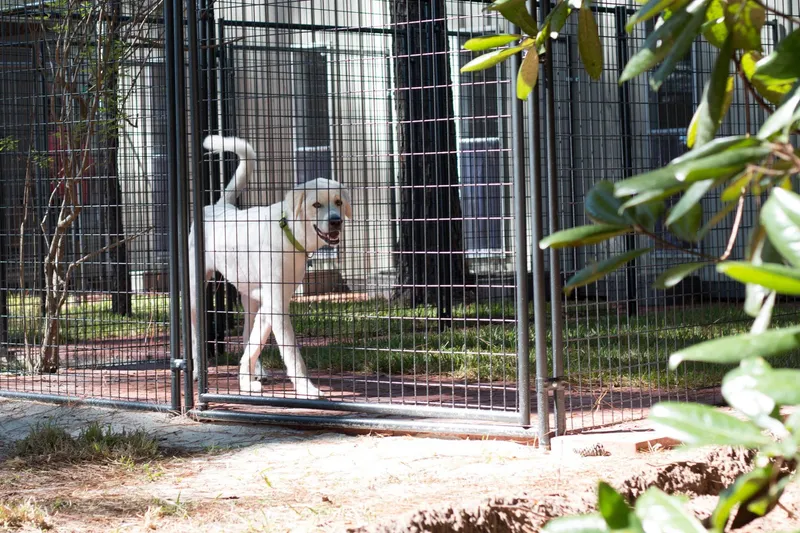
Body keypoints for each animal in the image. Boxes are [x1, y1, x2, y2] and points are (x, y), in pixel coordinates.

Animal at [189, 135, 352, 396]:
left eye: (338, 202)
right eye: (316, 205)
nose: (336, 221)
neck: (288, 232)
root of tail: (219, 207)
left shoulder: (272, 303)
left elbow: (253, 346)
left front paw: (246, 381)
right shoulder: (275, 305)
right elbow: (293, 354)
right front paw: (306, 388)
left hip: (250, 300)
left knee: (247, 333)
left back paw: (259, 371)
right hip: (196, 293)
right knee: (195, 335)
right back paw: (196, 371)